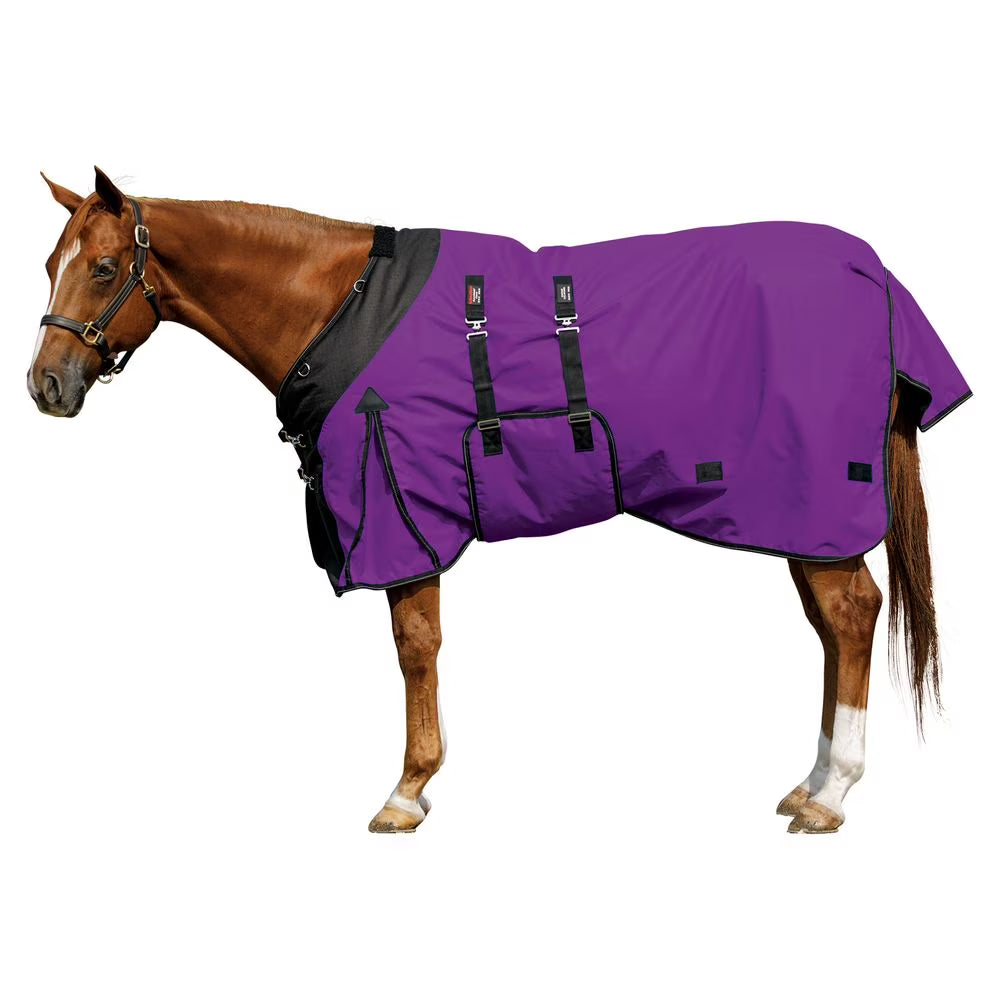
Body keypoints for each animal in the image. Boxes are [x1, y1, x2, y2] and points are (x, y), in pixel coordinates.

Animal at [28, 167, 970, 834]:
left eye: (104, 268)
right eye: (50, 265)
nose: (46, 385)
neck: (341, 305)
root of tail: (871, 270)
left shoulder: (402, 509)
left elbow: (416, 647)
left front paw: (407, 790)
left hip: (814, 508)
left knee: (850, 615)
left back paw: (832, 794)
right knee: (832, 626)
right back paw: (810, 783)